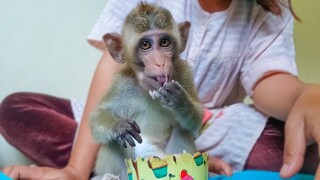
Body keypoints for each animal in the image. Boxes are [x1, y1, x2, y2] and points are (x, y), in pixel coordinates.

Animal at [90, 2, 202, 179]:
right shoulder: (121, 82)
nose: (160, 63)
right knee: (114, 142)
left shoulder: (183, 72)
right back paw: (108, 175)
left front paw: (179, 101)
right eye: (145, 45)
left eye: (164, 42)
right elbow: (98, 116)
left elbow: (196, 123)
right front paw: (119, 126)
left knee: (182, 130)